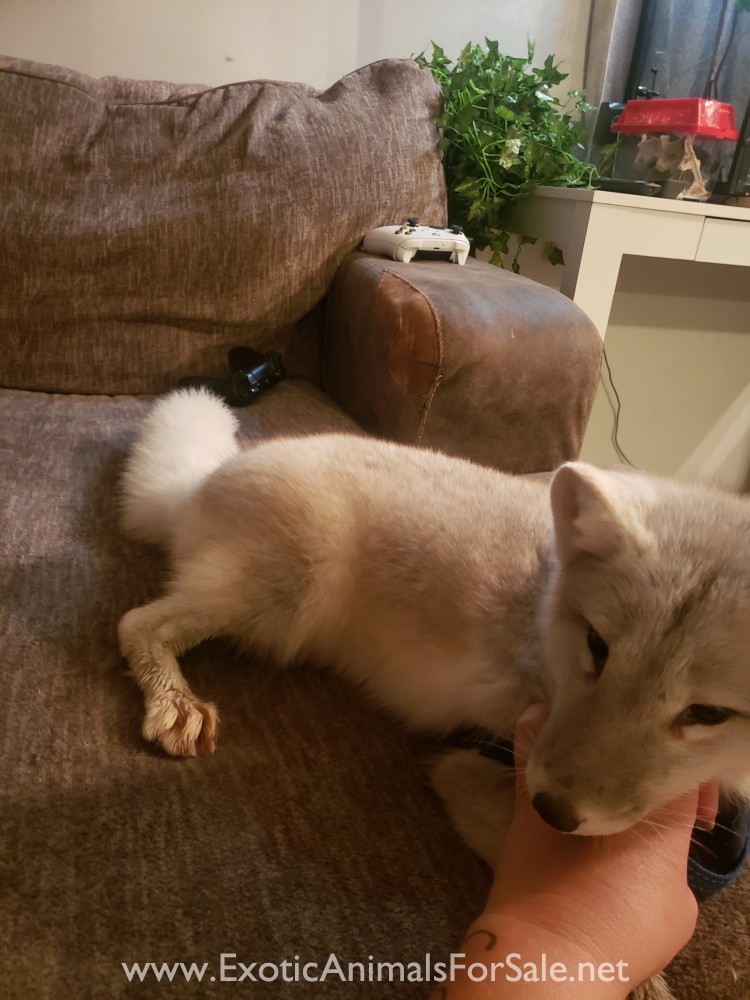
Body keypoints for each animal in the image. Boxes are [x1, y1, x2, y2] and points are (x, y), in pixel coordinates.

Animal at [119, 388, 750, 1000]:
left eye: (708, 713)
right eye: (597, 646)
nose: (551, 812)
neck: (544, 612)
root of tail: (206, 478)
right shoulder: (467, 768)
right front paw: (643, 981)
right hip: (291, 590)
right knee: (135, 623)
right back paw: (174, 702)